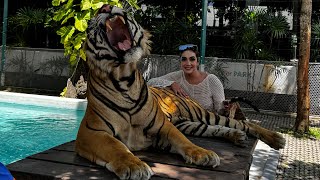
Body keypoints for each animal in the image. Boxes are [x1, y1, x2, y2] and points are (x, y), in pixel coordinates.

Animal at [76, 4, 286, 180]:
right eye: (89, 24)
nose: (105, 6)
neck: (124, 79)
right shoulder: (91, 131)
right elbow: (116, 147)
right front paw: (134, 166)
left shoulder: (164, 125)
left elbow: (184, 142)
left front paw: (203, 153)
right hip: (191, 123)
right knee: (218, 128)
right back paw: (237, 136)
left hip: (203, 115)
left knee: (244, 123)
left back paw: (276, 139)